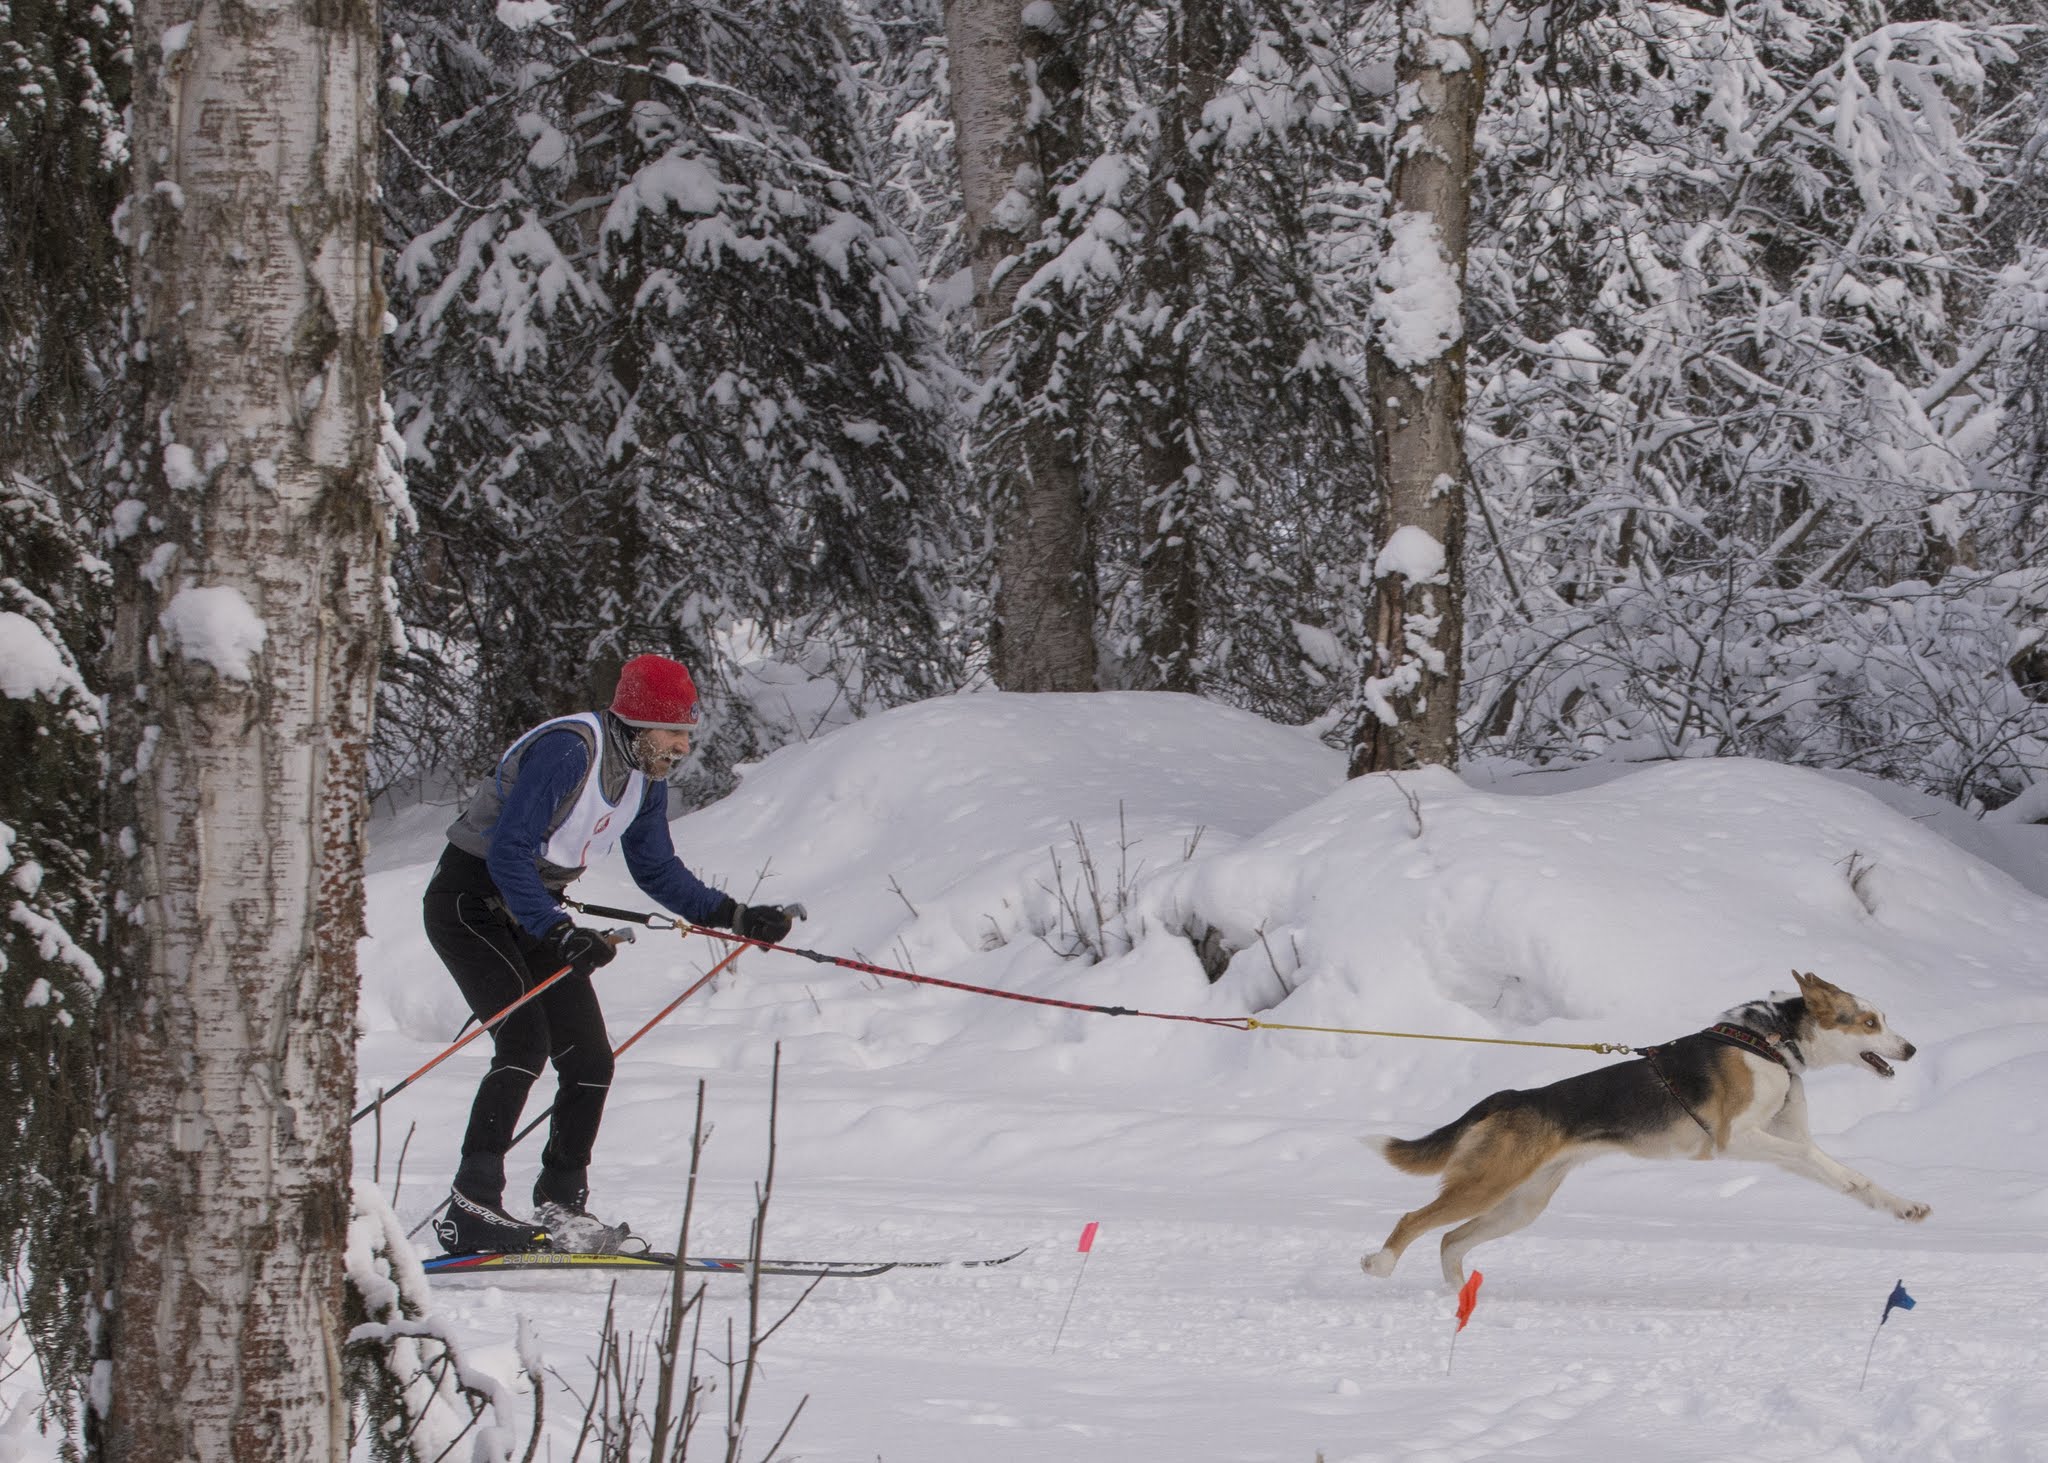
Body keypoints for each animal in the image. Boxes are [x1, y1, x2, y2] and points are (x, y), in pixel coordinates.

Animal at [1359, 975, 1916, 1278]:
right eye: (1869, 1022)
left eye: (1885, 1018)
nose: (1910, 1048)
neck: (1769, 1042)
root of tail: (1510, 1097)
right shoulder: (1736, 1139)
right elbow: (1821, 1163)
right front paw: (1856, 1186)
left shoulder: (1785, 1138)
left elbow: (1847, 1174)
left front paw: (1901, 1206)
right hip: (1488, 1184)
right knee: (1413, 1220)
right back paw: (1381, 1265)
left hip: (1520, 1205)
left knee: (1450, 1241)